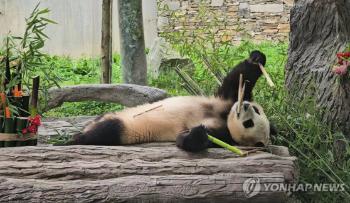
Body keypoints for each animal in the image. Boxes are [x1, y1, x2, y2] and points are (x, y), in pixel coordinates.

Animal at [67, 50, 272, 152]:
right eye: (256, 110)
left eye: (249, 123)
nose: (245, 106)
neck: (224, 117)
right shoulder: (226, 101)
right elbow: (238, 80)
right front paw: (256, 58)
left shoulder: (224, 133)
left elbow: (191, 140)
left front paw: (197, 134)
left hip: (126, 128)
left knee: (107, 131)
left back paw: (75, 139)